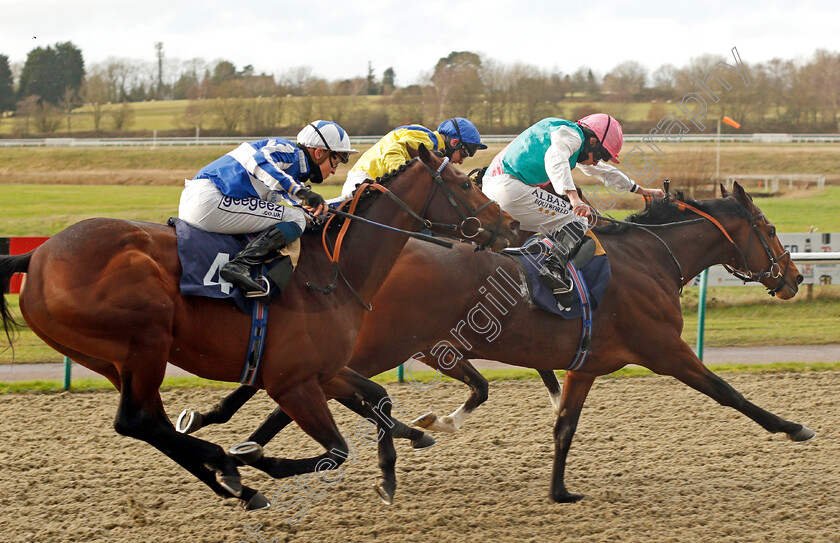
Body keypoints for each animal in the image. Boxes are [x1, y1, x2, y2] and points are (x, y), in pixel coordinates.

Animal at [0, 144, 520, 510]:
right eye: (464, 183)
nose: (512, 226)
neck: (332, 272)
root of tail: (38, 254)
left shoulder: (325, 371)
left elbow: (378, 399)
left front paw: (391, 469)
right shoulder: (292, 383)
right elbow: (336, 449)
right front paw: (250, 456)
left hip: (112, 360)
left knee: (152, 423)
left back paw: (232, 483)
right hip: (147, 341)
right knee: (136, 420)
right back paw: (231, 470)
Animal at [174, 184, 812, 506]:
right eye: (771, 229)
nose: (794, 277)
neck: (650, 259)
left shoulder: (584, 365)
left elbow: (564, 426)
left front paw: (559, 491)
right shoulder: (664, 350)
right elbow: (729, 393)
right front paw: (794, 428)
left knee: (304, 392)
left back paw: (236, 450)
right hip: (381, 344)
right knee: (304, 392)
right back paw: (243, 451)